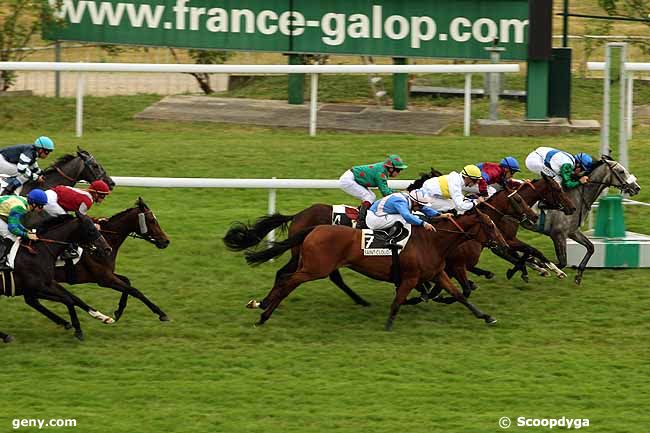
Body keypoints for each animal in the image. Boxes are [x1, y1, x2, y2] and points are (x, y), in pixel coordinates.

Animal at [528, 155, 636, 284]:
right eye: (621, 171)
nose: (637, 187)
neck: (576, 198)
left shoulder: (572, 232)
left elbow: (591, 247)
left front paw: (578, 276)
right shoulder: (558, 234)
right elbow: (561, 262)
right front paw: (537, 265)